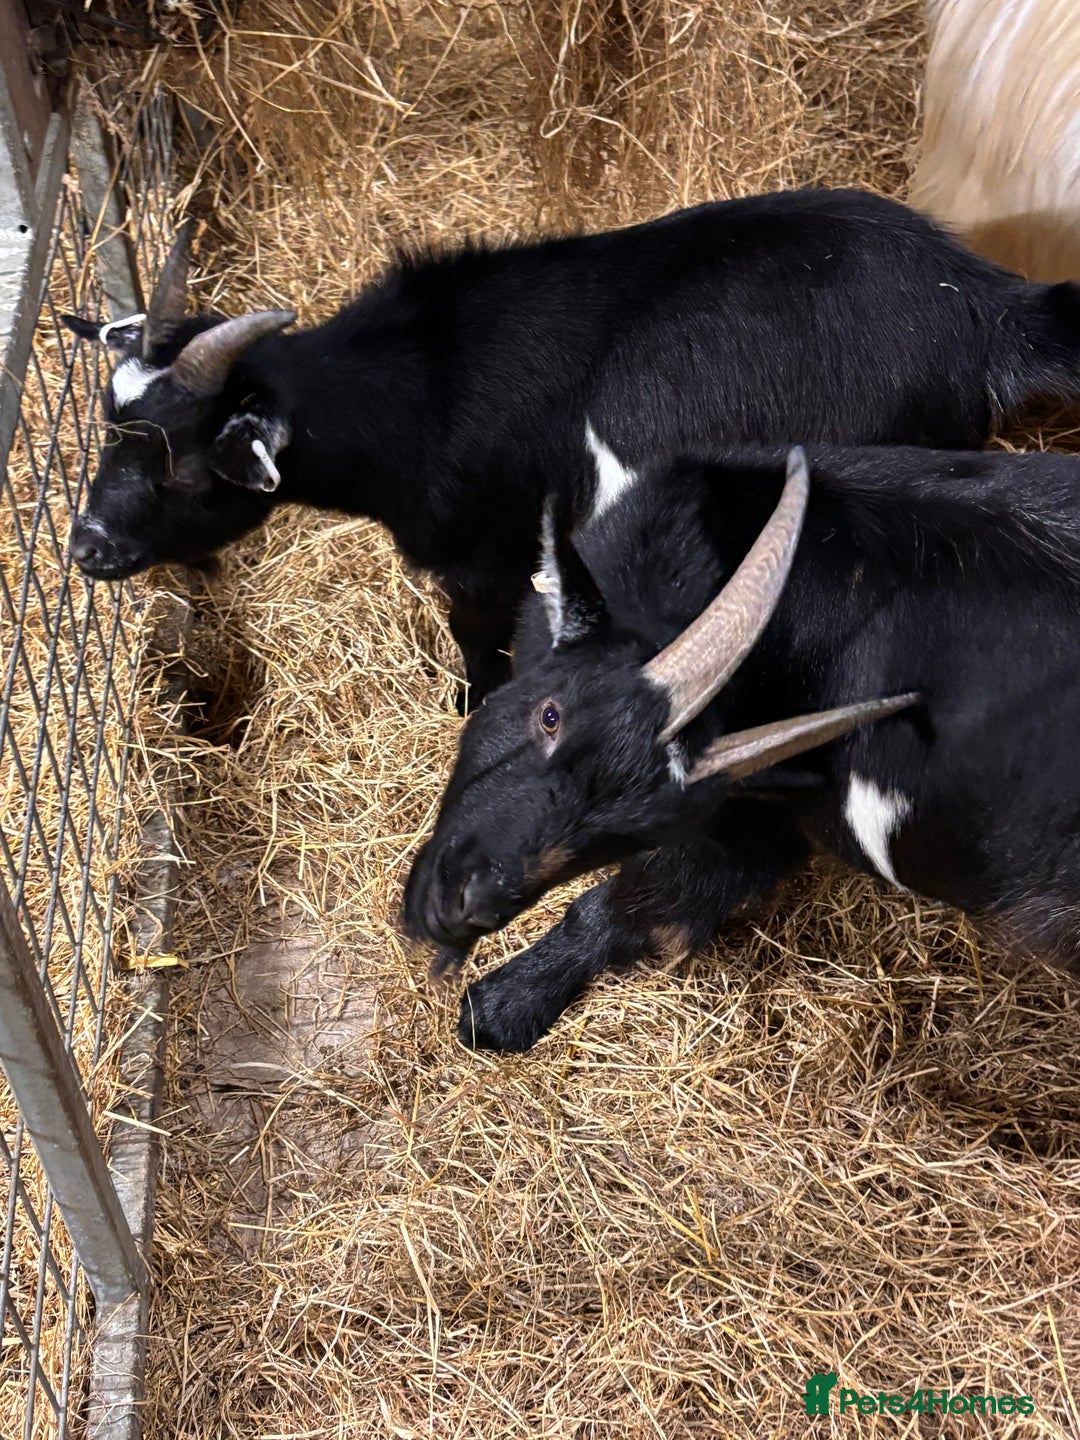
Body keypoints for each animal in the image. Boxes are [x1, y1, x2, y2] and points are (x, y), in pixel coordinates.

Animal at [64, 191, 1080, 703]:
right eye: (110, 430)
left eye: (187, 462)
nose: (86, 551)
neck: (419, 390)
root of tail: (989, 311)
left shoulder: (482, 553)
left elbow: (478, 645)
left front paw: (472, 708)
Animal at [404, 441, 1080, 1052]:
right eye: (551, 715)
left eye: (643, 825)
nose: (465, 903)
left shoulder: (751, 823)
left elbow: (633, 903)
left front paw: (504, 1004)